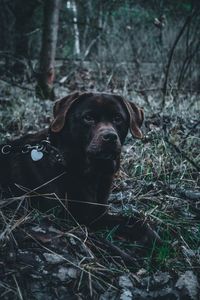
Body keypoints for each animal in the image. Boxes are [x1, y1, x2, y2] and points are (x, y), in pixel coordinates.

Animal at [0, 92, 158, 243]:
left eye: (118, 118)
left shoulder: (99, 210)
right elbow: (126, 222)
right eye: (88, 117)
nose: (110, 137)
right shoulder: (80, 216)